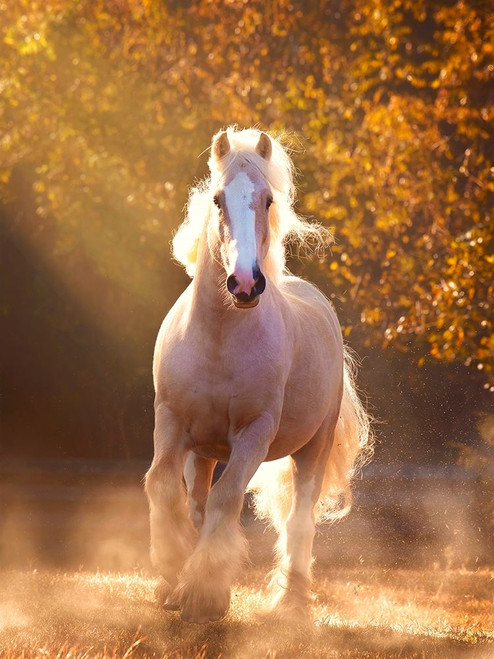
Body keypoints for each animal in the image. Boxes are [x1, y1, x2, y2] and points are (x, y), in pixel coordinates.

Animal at [145, 127, 372, 624]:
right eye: (216, 199)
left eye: (268, 200)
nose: (245, 284)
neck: (218, 339)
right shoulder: (170, 420)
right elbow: (163, 486)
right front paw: (173, 572)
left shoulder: (254, 433)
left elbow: (228, 497)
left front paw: (204, 595)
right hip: (203, 450)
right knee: (196, 501)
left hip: (313, 447)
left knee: (300, 519)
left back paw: (291, 602)